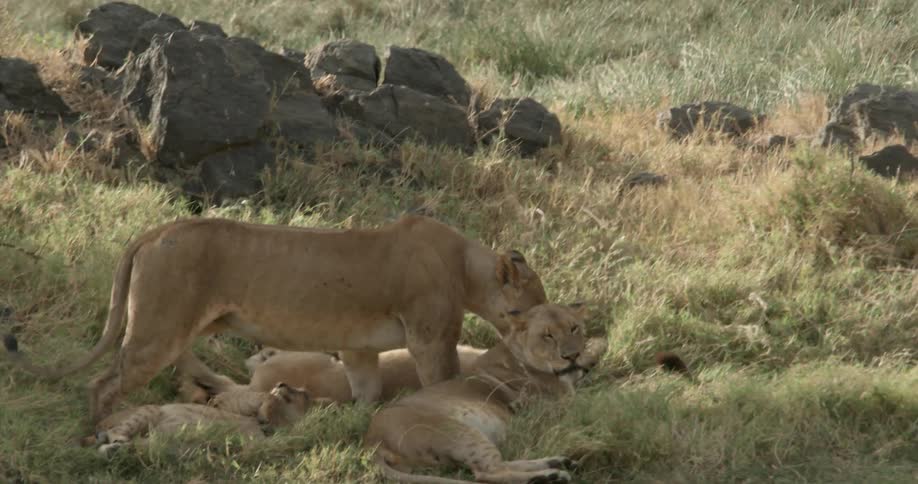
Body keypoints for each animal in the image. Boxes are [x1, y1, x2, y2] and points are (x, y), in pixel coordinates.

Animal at [3, 215, 547, 424]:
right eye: (521, 314)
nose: (542, 353)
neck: (465, 264)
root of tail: (157, 230)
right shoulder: (431, 338)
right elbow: (443, 382)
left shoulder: (358, 346)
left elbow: (366, 391)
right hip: (157, 327)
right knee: (103, 383)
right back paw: (97, 430)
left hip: (179, 325)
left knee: (181, 362)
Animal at [83, 382, 321, 455]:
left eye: (305, 394)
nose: (281, 384)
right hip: (150, 410)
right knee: (114, 433)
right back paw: (113, 442)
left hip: (159, 441)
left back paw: (114, 449)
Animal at [364, 303, 608, 484]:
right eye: (547, 335)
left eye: (574, 328)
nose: (572, 355)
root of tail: (372, 440)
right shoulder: (558, 409)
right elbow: (595, 403)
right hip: (457, 432)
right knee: (488, 472)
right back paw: (548, 476)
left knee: (497, 465)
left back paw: (556, 464)